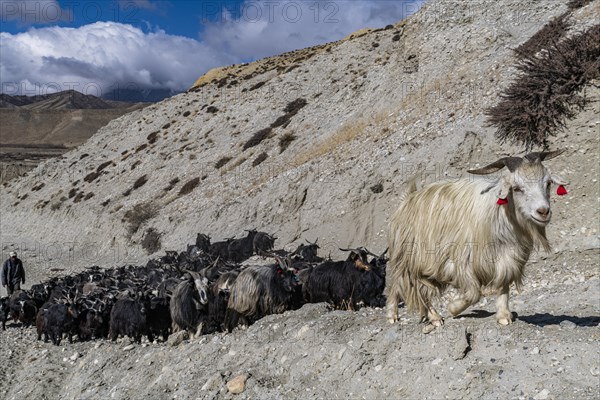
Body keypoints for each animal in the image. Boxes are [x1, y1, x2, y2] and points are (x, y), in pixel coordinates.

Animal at [390, 150, 568, 328]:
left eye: (548, 184)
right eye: (516, 188)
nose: (543, 211)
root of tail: (407, 199)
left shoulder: (508, 259)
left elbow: (503, 286)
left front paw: (504, 316)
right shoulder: (462, 261)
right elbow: (474, 294)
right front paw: (453, 308)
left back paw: (432, 317)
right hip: (408, 260)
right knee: (400, 286)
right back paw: (397, 315)